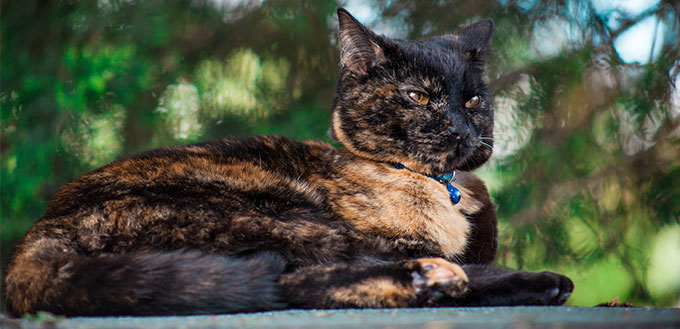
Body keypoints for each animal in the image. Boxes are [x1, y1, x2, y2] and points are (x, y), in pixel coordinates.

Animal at [3, 8, 572, 316]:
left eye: (473, 100)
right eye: (417, 96)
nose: (461, 129)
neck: (445, 190)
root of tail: (41, 233)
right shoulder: (388, 240)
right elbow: (467, 263)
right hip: (280, 214)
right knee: (288, 281)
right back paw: (453, 280)